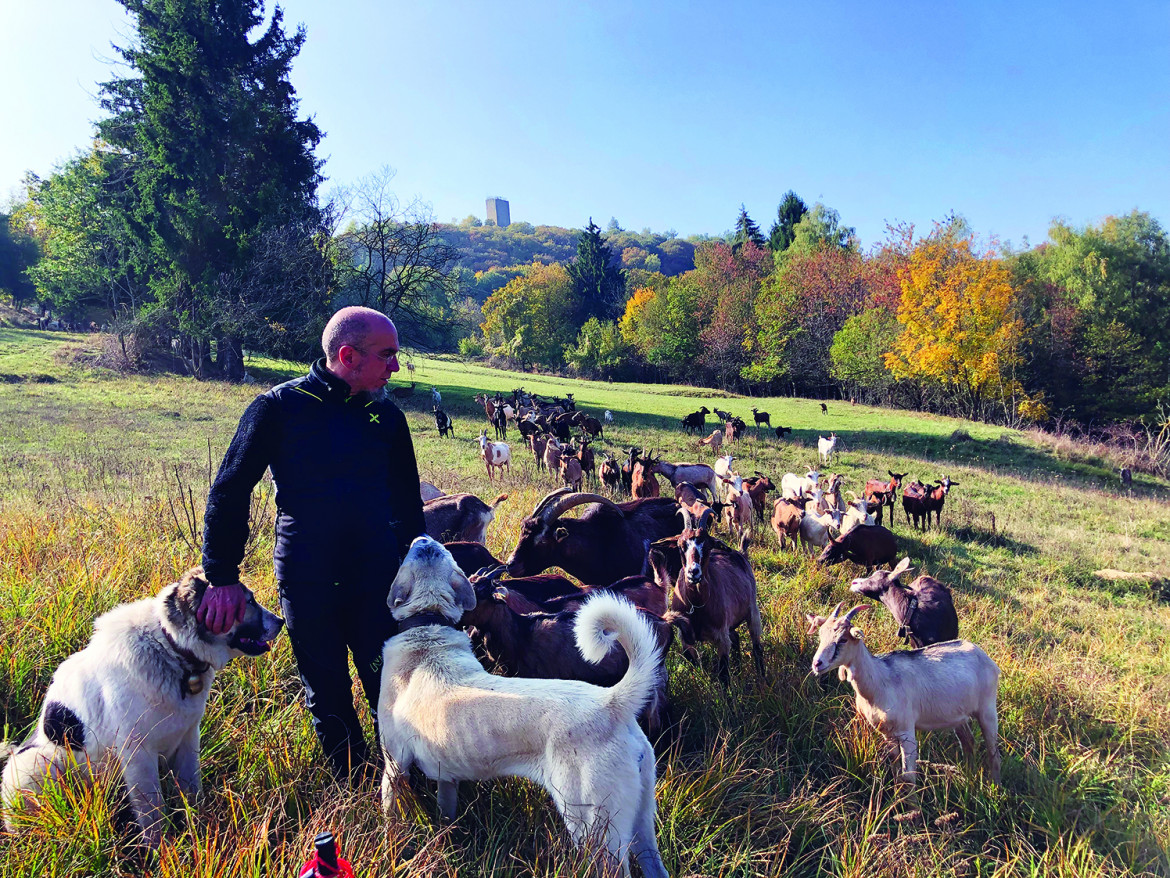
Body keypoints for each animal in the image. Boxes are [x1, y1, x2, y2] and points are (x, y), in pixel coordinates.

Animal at [1, 566, 283, 847]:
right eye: (248, 601)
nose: (281, 621)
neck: (170, 648)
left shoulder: (188, 739)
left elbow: (192, 788)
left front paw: (199, 825)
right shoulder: (138, 754)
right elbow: (152, 810)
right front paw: (160, 849)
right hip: (36, 764)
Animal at [376, 536, 669, 878]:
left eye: (424, 550)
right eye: (435, 551)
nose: (423, 538)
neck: (428, 627)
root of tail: (612, 702)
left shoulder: (394, 765)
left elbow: (389, 816)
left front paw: (390, 846)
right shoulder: (446, 776)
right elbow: (446, 811)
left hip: (594, 830)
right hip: (641, 820)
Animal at [650, 508, 767, 688]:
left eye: (708, 545)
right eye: (680, 546)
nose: (693, 572)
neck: (697, 605)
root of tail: (741, 554)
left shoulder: (721, 638)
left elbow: (724, 674)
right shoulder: (685, 636)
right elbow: (693, 660)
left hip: (752, 611)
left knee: (757, 647)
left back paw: (763, 679)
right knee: (736, 637)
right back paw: (739, 670)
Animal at [804, 608, 1006, 786]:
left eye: (843, 639)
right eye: (821, 635)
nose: (817, 663)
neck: (880, 679)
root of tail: (986, 657)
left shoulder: (906, 731)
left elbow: (908, 777)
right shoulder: (887, 733)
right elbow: (896, 773)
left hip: (987, 709)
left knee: (993, 751)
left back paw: (996, 787)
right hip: (958, 716)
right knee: (968, 742)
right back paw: (969, 777)